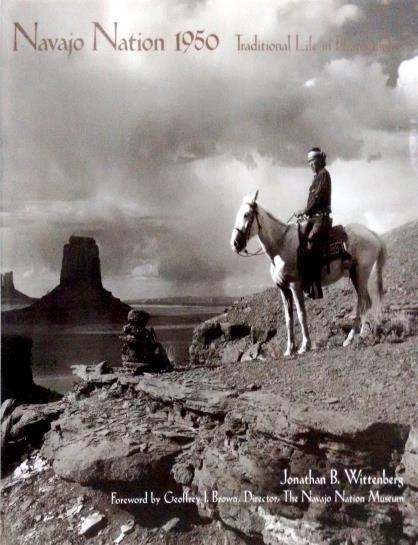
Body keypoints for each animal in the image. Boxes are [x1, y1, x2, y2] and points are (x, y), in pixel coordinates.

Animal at [230, 191, 386, 356]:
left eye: (246, 215)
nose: (235, 244)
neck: (281, 246)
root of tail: (372, 233)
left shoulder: (295, 286)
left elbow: (301, 314)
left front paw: (305, 346)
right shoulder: (283, 289)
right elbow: (288, 318)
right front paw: (289, 349)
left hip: (361, 274)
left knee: (364, 302)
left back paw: (356, 336)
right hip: (355, 275)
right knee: (364, 302)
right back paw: (355, 336)